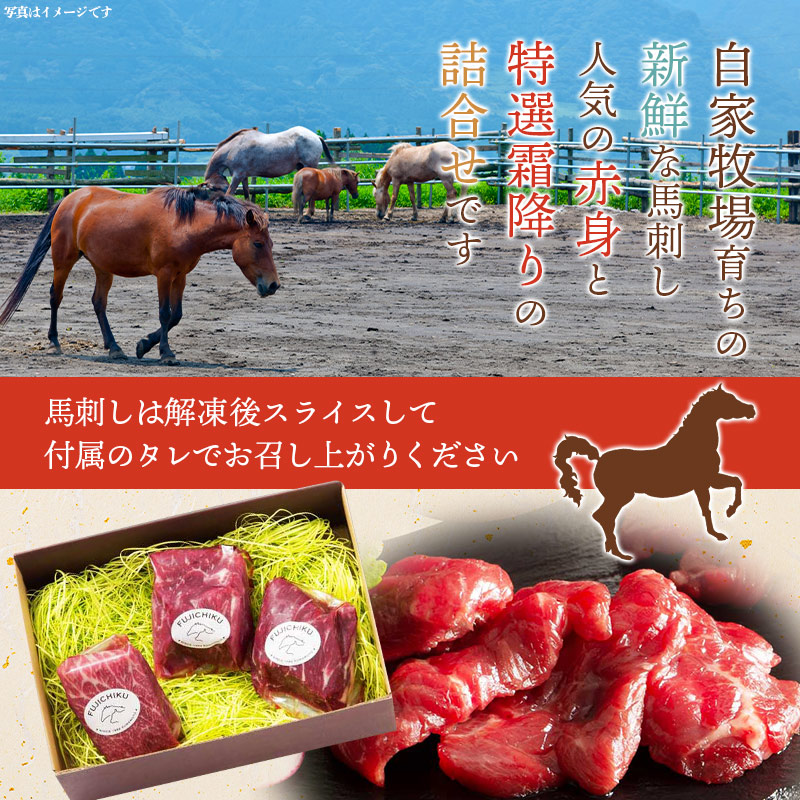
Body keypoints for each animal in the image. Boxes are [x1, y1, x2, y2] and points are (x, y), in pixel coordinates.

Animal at [0, 185, 280, 365]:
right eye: (257, 244)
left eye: (271, 243)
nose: (273, 285)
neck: (184, 224)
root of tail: (70, 200)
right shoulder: (164, 274)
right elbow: (165, 313)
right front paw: (165, 353)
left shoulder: (180, 276)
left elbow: (176, 315)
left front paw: (144, 345)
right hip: (63, 260)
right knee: (55, 297)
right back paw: (54, 343)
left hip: (103, 267)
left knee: (98, 303)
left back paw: (114, 348)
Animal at [204, 126, 336, 201]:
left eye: (213, 189)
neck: (233, 148)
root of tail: (316, 136)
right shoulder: (244, 176)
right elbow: (247, 194)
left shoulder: (237, 176)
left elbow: (230, 193)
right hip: (301, 168)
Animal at [553, 385, 757, 560]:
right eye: (728, 400)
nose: (752, 410)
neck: (696, 444)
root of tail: (599, 458)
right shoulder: (704, 482)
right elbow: (713, 503)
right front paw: (726, 519)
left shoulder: (708, 481)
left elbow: (734, 484)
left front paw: (724, 520)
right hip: (619, 496)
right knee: (603, 517)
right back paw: (618, 553)